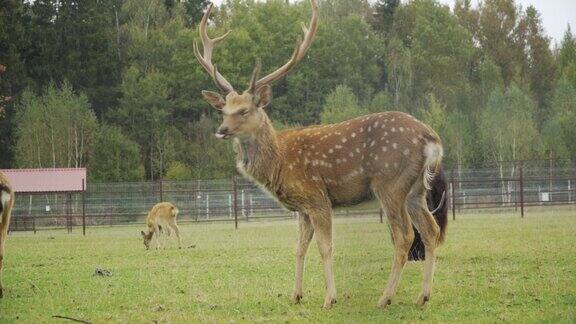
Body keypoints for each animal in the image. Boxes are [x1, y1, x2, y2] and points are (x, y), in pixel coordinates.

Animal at [194, 0, 446, 308]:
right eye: (223, 110)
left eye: (244, 110)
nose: (221, 130)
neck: (280, 162)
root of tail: (431, 139)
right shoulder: (302, 208)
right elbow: (299, 248)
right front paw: (296, 294)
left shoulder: (317, 198)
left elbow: (325, 247)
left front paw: (329, 298)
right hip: (416, 190)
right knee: (431, 230)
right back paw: (423, 296)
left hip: (390, 184)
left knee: (405, 235)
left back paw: (385, 298)